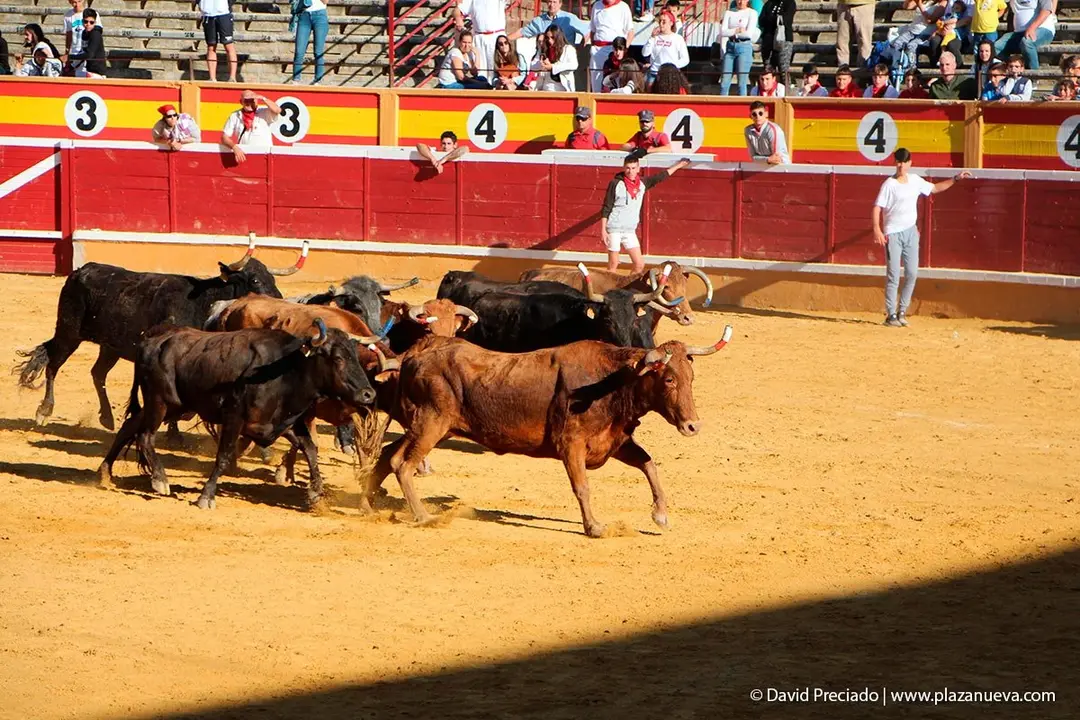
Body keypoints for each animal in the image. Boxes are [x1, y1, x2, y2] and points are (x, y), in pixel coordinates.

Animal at [14, 238, 308, 431]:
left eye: (273, 279)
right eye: (255, 280)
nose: (283, 302)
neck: (203, 302)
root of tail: (80, 271)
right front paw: (175, 433)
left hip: (110, 346)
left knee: (97, 373)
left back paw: (107, 418)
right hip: (69, 331)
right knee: (53, 364)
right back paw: (44, 410)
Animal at [97, 319, 377, 511]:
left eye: (356, 357)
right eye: (338, 358)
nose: (368, 394)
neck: (287, 371)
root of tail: (151, 340)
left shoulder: (282, 423)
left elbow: (310, 449)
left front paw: (316, 492)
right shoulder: (234, 418)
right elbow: (223, 457)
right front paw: (205, 496)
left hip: (175, 406)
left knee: (130, 426)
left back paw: (105, 474)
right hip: (160, 402)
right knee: (145, 435)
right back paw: (160, 480)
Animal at [363, 326, 734, 537]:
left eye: (690, 378)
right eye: (668, 379)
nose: (692, 425)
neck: (611, 380)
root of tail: (413, 357)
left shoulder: (614, 441)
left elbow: (648, 464)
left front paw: (660, 515)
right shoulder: (571, 444)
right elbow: (582, 487)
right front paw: (594, 527)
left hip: (433, 427)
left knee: (387, 455)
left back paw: (368, 505)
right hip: (431, 423)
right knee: (402, 463)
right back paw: (424, 516)